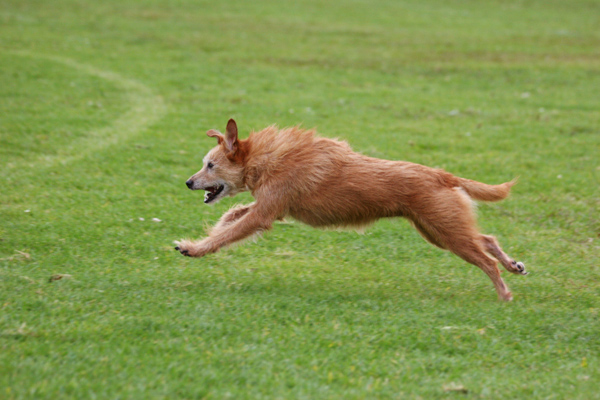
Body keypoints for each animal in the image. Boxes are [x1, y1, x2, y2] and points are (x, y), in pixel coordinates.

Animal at [176, 119, 528, 300]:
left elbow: (229, 233)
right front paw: (209, 232)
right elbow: (232, 217)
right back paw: (513, 265)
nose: (188, 182)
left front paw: (193, 248)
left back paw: (504, 293)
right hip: (438, 230)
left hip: (446, 231)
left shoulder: (264, 214)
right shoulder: (268, 206)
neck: (266, 158)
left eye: (210, 165)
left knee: (485, 260)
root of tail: (443, 175)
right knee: (487, 239)